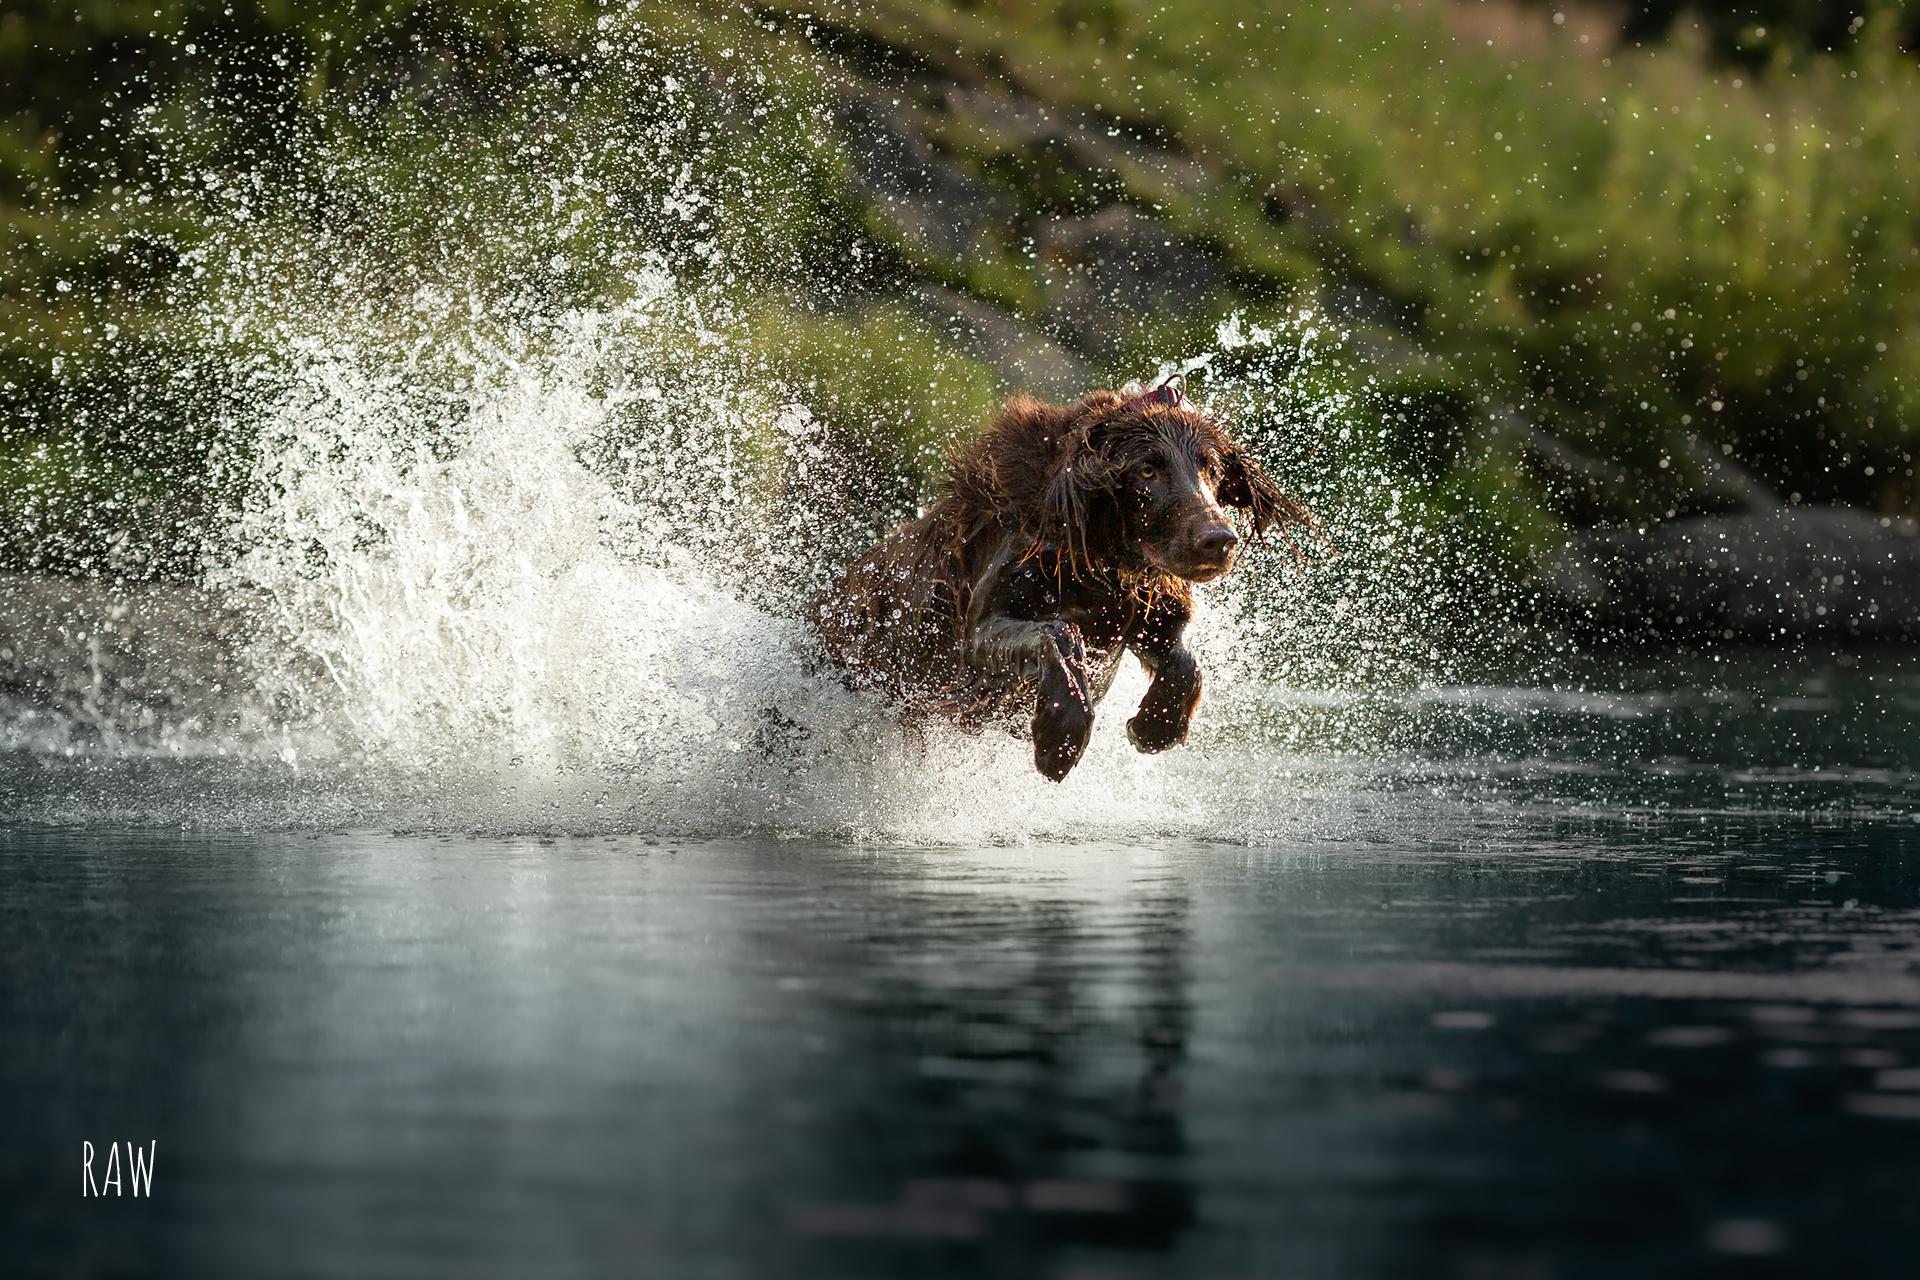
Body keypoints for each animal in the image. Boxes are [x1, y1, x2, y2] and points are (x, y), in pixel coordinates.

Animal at [802, 379, 1313, 782]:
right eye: (1147, 469)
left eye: (1210, 467)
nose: (1218, 540)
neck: (1099, 557)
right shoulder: (979, 631)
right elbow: (1056, 632)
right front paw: (1059, 740)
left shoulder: (1143, 608)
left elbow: (1182, 656)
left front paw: (1154, 725)